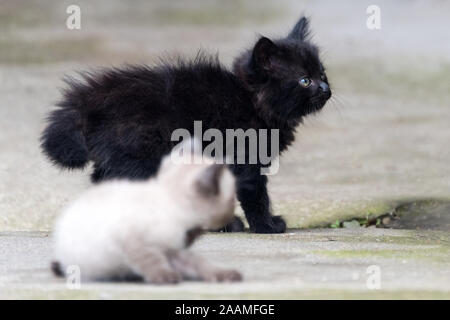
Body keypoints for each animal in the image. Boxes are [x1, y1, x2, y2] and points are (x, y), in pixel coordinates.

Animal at [41, 16, 330, 232]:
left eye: (322, 74)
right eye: (304, 80)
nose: (326, 89)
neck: (250, 100)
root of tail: (90, 98)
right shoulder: (244, 157)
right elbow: (255, 194)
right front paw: (265, 226)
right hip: (141, 155)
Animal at [51, 139, 243, 284]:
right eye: (231, 199)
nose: (231, 214)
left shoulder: (175, 248)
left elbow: (198, 263)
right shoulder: (130, 237)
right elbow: (149, 258)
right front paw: (165, 276)